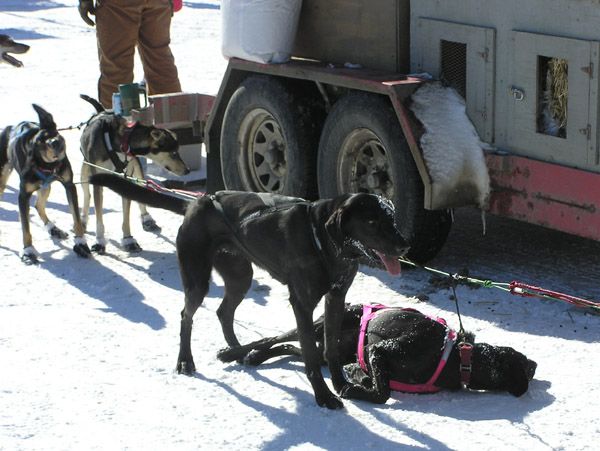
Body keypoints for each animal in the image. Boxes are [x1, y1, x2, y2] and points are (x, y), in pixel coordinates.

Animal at [0, 103, 91, 264]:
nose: (54, 142)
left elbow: (77, 219)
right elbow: (26, 228)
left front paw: (81, 243)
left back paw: (53, 228)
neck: (48, 166)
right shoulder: (23, 195)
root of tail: (7, 128)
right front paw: (28, 251)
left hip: (45, 186)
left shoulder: (69, 185)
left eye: (51, 133)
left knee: (38, 205)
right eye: (38, 144)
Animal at [78, 95, 189, 254]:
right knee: (87, 195)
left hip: (137, 168)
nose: (187, 170)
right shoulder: (98, 180)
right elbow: (99, 218)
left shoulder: (126, 178)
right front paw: (100, 241)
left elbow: (126, 215)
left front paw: (128, 239)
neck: (120, 142)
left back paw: (147, 219)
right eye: (173, 153)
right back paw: (83, 220)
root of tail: (101, 111)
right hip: (85, 171)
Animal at [89, 173, 408, 410]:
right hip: (198, 280)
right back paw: (186, 360)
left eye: (392, 217)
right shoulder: (302, 304)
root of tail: (196, 204)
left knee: (223, 312)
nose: (404, 246)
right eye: (371, 221)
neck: (322, 239)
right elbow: (310, 356)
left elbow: (329, 349)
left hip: (240, 276)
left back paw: (237, 349)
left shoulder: (336, 299)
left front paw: (341, 386)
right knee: (186, 316)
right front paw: (323, 395)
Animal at [218, 306, 536, 404]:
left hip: (326, 353)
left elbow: (376, 385)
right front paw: (352, 387)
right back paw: (234, 352)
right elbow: (382, 394)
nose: (535, 364)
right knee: (275, 337)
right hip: (324, 324)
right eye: (523, 363)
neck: (459, 358)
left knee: (294, 350)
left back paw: (255, 356)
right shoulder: (378, 349)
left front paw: (356, 379)